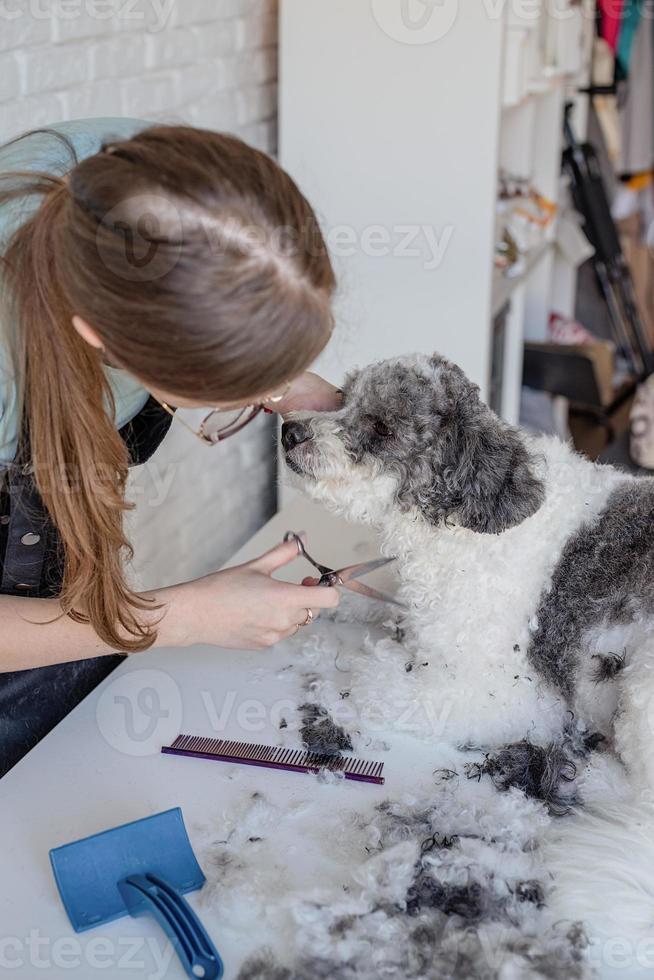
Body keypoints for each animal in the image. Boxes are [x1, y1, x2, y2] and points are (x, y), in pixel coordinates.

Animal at [284, 348, 654, 792]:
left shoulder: (521, 699)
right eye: (343, 396)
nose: (288, 431)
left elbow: (382, 681)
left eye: (382, 427)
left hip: (640, 690)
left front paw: (383, 662)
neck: (465, 521)